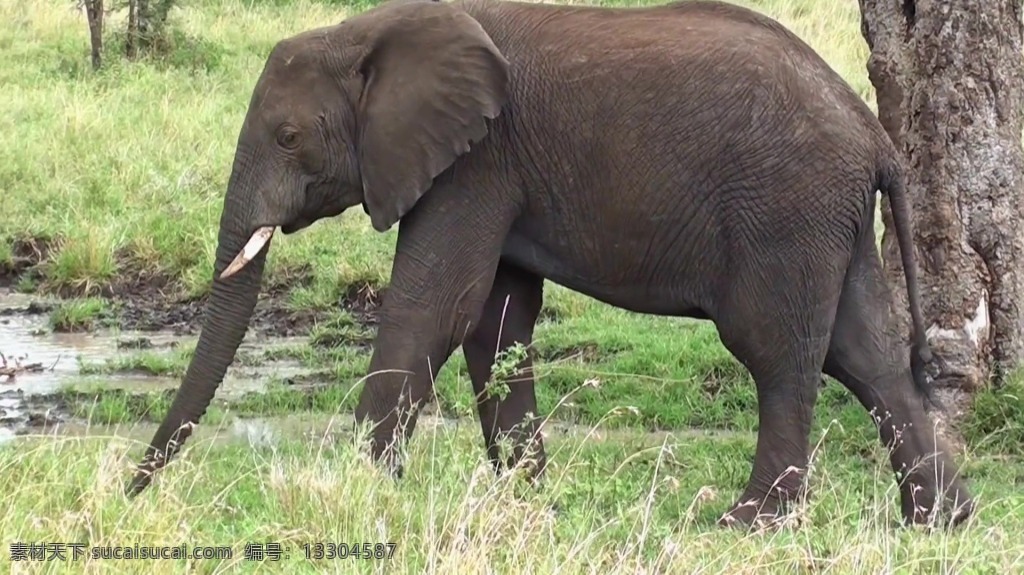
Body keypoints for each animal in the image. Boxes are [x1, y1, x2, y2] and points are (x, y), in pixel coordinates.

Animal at [128, 0, 974, 527]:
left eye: (288, 137)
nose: (134, 486)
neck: (371, 28)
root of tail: (875, 136)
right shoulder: (489, 169)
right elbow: (495, 321)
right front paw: (529, 497)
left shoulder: (475, 161)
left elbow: (435, 307)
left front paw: (358, 489)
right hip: (829, 218)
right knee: (866, 355)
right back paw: (939, 522)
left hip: (785, 211)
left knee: (780, 353)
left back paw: (750, 523)